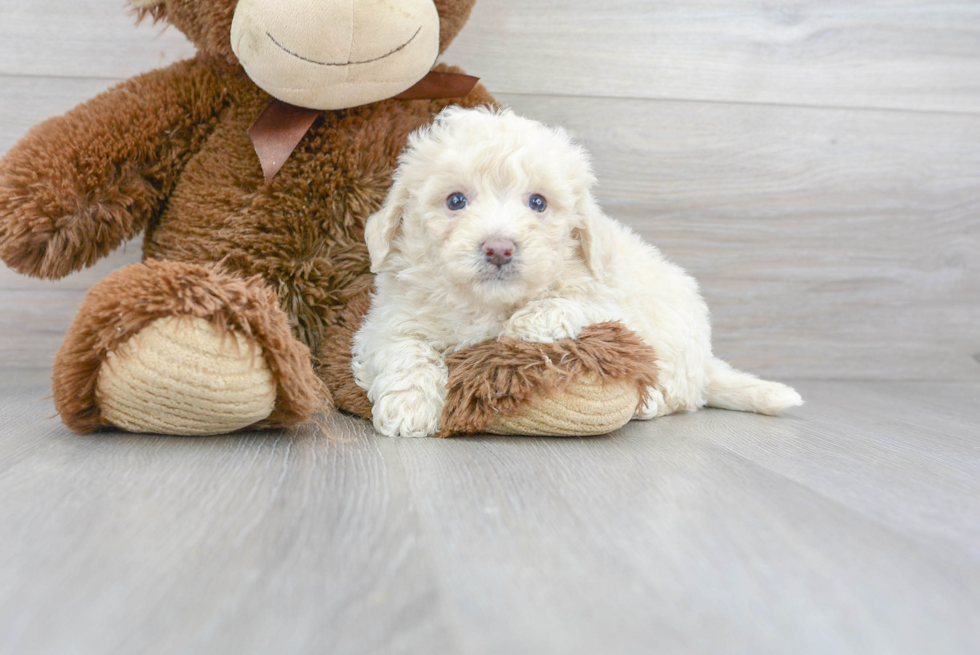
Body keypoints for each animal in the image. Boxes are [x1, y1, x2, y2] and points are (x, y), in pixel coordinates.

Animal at [356, 107, 800, 438]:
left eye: (538, 202)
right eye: (456, 200)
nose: (499, 248)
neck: (490, 304)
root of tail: (706, 360)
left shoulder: (613, 298)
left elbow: (578, 300)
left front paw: (530, 323)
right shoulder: (390, 319)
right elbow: (404, 347)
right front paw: (409, 405)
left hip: (676, 338)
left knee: (678, 393)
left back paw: (650, 403)